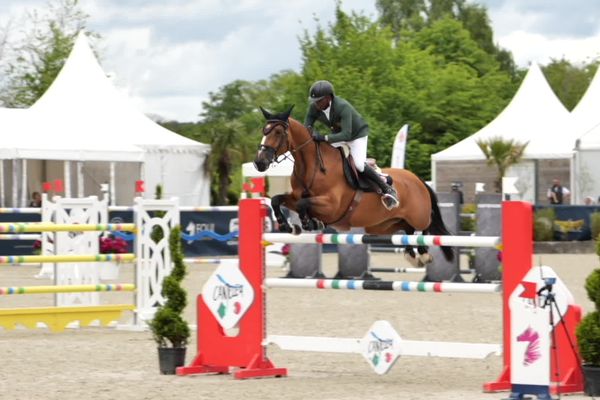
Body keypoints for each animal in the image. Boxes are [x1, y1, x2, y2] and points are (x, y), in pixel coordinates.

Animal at [254, 105, 454, 266]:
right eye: (264, 131)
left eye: (278, 133)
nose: (259, 163)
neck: (312, 166)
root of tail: (418, 180)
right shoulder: (296, 197)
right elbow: (277, 200)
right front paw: (288, 226)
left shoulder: (332, 206)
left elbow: (304, 204)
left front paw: (308, 222)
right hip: (385, 224)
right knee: (408, 230)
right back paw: (413, 255)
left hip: (418, 215)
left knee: (426, 225)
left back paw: (423, 253)